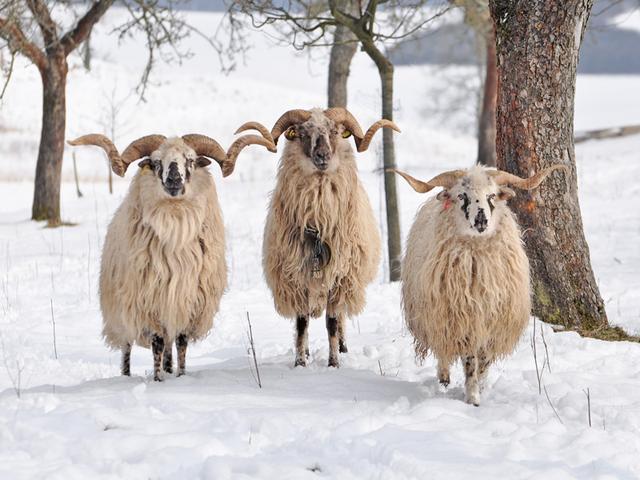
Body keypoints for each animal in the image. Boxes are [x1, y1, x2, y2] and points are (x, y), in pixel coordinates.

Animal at [68, 130, 275, 380]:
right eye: (156, 162)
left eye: (191, 160)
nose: (174, 179)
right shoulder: (149, 304)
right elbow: (156, 344)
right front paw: (158, 379)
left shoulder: (188, 304)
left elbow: (181, 343)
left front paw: (180, 376)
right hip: (120, 312)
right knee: (127, 348)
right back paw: (126, 376)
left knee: (169, 346)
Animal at [238, 108, 400, 368]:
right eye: (303, 133)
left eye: (334, 131)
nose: (322, 155)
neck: (318, 222)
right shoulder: (296, 279)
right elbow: (301, 324)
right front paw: (300, 362)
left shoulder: (339, 278)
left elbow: (332, 323)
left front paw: (334, 363)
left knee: (340, 318)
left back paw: (343, 347)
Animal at [394, 164, 565, 405]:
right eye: (461, 195)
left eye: (491, 195)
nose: (481, 221)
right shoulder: (463, 319)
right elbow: (469, 360)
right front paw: (472, 396)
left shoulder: (492, 321)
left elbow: (483, 360)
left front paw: (481, 388)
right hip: (435, 315)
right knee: (442, 348)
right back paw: (444, 377)